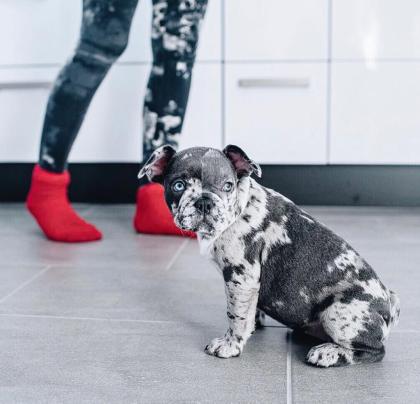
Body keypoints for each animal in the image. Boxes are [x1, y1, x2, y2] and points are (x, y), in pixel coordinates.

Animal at [139, 146, 400, 370]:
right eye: (179, 185)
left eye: (227, 186)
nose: (204, 201)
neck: (240, 208)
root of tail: (389, 305)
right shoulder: (248, 284)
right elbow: (248, 310)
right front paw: (253, 324)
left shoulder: (240, 277)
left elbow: (235, 314)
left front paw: (230, 344)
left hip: (338, 313)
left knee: (374, 351)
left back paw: (328, 353)